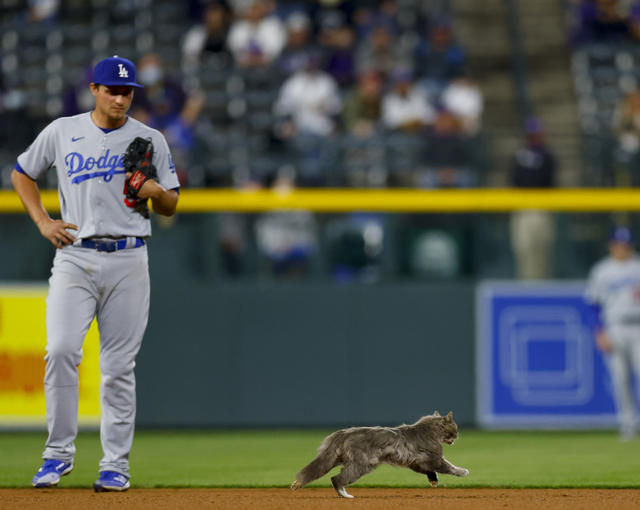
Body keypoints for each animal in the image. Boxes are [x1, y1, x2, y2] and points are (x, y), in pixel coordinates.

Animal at [292, 410, 468, 498]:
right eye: (455, 427)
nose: (458, 435)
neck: (429, 431)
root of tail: (344, 433)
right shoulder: (434, 458)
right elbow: (448, 466)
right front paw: (462, 471)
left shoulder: (418, 462)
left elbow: (430, 471)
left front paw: (433, 480)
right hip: (362, 465)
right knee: (337, 478)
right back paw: (344, 494)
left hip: (332, 459)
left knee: (314, 470)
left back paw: (297, 483)